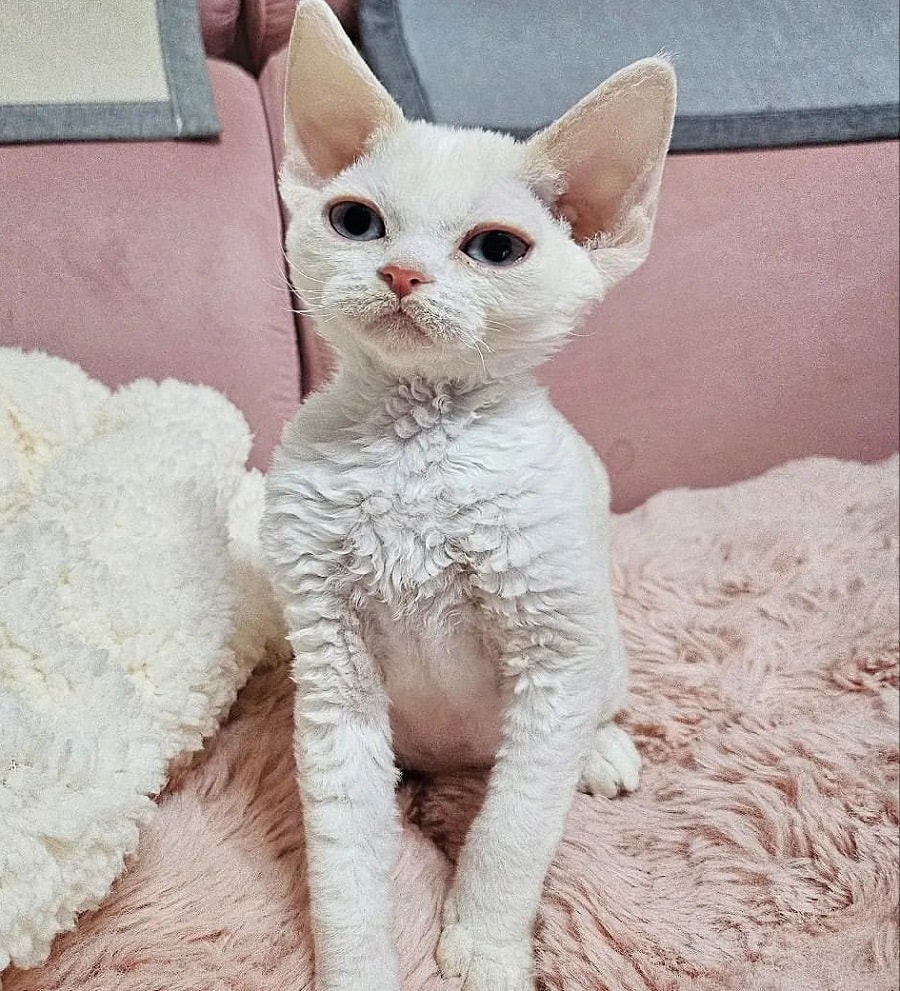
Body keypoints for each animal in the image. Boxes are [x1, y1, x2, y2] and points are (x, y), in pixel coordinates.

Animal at [260, 3, 676, 988]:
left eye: (495, 248)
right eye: (356, 221)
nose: (402, 274)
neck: (417, 442)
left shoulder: (553, 649)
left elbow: (517, 825)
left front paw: (483, 945)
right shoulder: (329, 664)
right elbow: (343, 846)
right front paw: (358, 961)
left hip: (597, 633)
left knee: (593, 702)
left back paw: (602, 748)